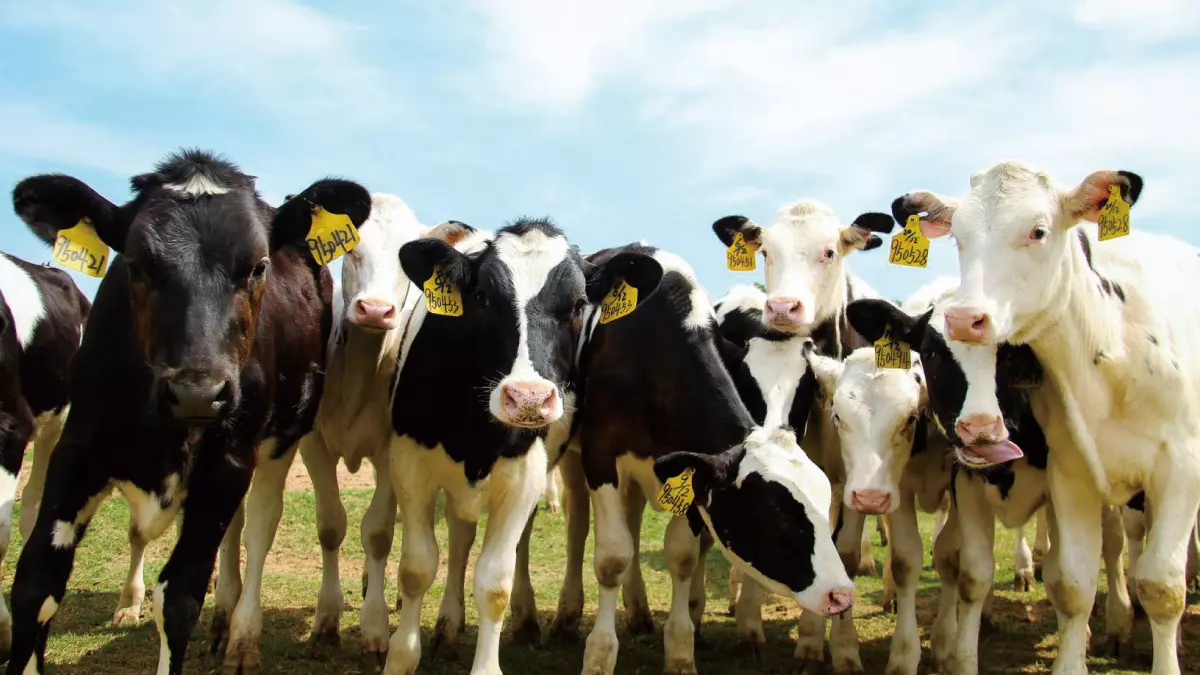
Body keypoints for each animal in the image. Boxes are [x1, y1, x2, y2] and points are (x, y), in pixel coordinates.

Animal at [5, 149, 370, 675]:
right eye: (136, 264)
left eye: (257, 266)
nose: (198, 394)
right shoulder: (78, 448)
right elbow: (35, 584)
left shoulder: (229, 460)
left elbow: (178, 598)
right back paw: (221, 621)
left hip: (280, 439)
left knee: (259, 525)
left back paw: (241, 637)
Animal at [204, 193, 427, 671]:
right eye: (351, 249)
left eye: (405, 261)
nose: (375, 310)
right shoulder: (311, 442)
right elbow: (331, 526)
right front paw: (327, 621)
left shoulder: (390, 449)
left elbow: (378, 533)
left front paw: (376, 628)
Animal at [575, 243, 854, 675]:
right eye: (776, 515)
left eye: (826, 509)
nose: (841, 595)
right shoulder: (600, 454)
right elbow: (612, 558)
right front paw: (600, 655)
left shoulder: (691, 469)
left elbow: (683, 556)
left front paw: (680, 650)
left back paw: (642, 611)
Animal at [711, 201, 893, 672]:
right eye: (765, 251)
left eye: (829, 251)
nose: (782, 307)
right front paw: (755, 626)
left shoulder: (845, 482)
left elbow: (842, 553)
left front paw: (837, 646)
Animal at [893, 162, 1197, 674]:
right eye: (958, 236)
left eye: (1038, 230)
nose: (966, 319)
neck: (1110, 346)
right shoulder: (1071, 472)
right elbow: (1070, 584)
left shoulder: (1180, 470)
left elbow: (1161, 584)